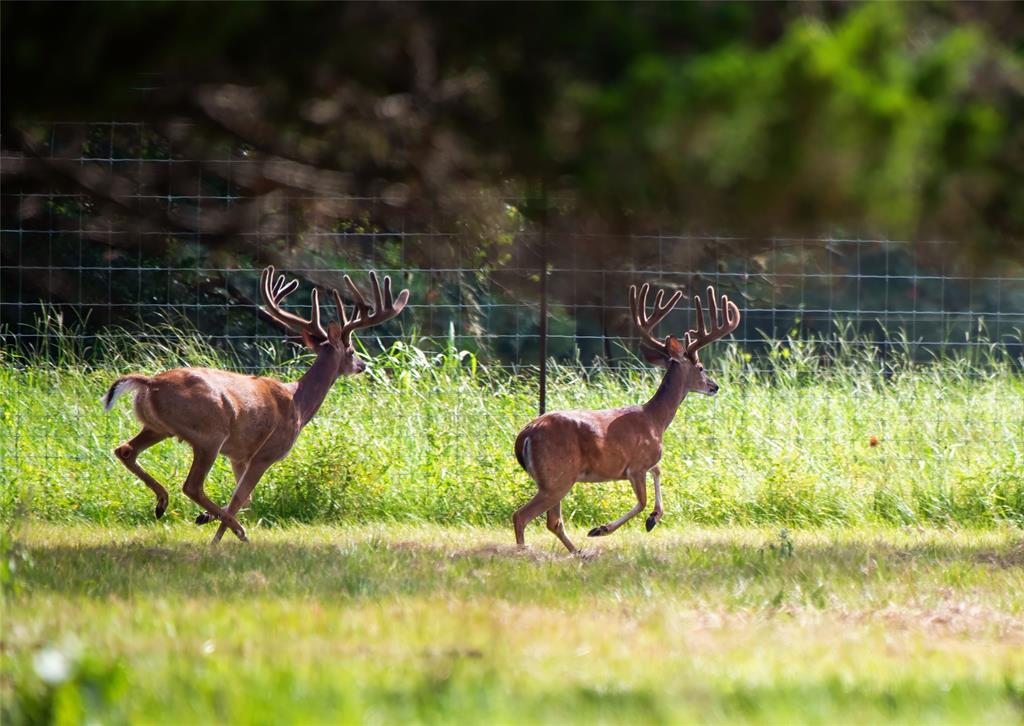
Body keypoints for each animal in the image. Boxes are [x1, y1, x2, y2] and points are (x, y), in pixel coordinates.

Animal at [101, 264, 407, 540]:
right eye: (352, 349)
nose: (363, 366)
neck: (299, 403)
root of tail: (150, 383)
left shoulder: (239, 455)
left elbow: (243, 499)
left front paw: (207, 518)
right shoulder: (265, 453)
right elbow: (241, 498)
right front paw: (218, 537)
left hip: (159, 428)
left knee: (125, 450)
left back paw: (162, 503)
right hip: (209, 434)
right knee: (191, 485)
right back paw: (235, 529)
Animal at [509, 280, 737, 552]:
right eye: (700, 368)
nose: (714, 386)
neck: (656, 419)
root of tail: (525, 434)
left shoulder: (645, 462)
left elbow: (659, 471)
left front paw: (653, 518)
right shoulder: (636, 465)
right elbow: (642, 500)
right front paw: (602, 528)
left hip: (554, 479)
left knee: (553, 522)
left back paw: (578, 552)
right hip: (558, 476)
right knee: (522, 516)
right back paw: (526, 552)